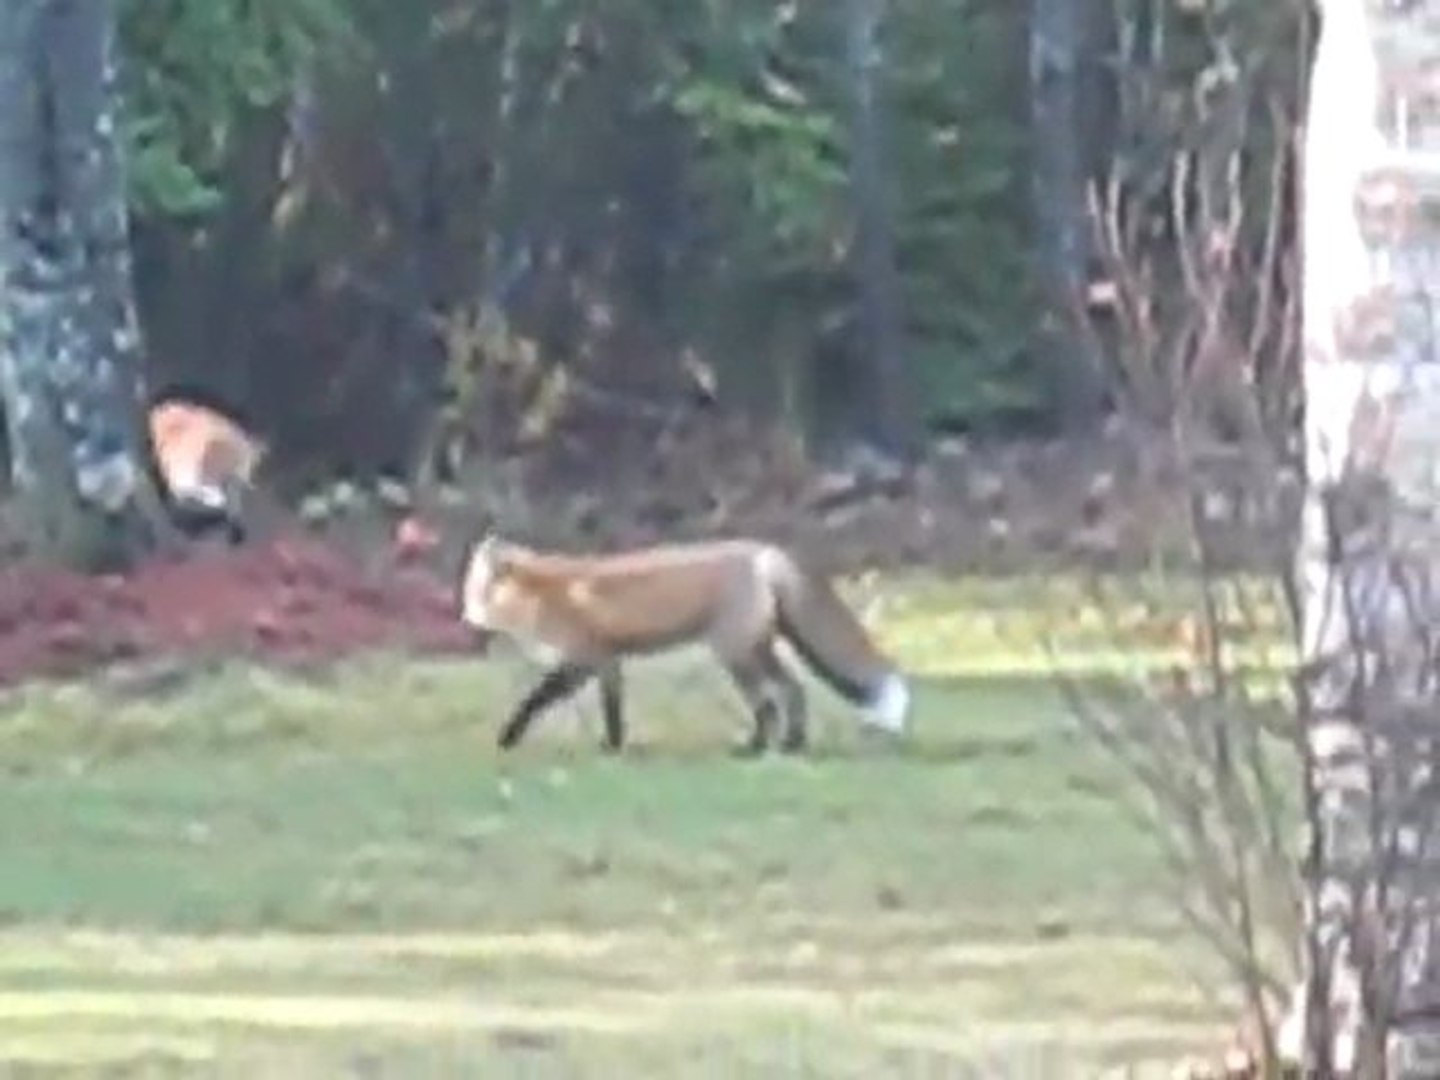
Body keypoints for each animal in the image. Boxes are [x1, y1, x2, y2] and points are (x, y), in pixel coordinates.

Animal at [457, 533, 912, 755]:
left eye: (472, 595)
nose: (464, 617)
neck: (548, 594)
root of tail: (764, 553)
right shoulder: (608, 663)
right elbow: (613, 711)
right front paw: (614, 746)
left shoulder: (583, 660)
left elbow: (536, 699)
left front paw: (508, 737)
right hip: (757, 650)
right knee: (794, 691)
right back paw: (791, 745)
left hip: (734, 655)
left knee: (767, 704)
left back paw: (755, 748)